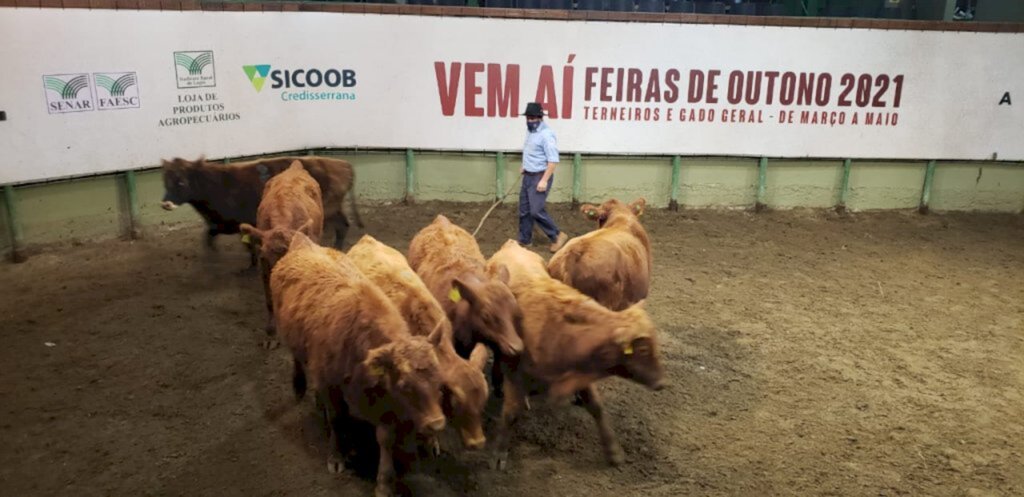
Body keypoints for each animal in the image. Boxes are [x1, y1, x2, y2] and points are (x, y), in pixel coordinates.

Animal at [272, 232, 444, 495]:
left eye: (439, 381)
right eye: (405, 385)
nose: (437, 424)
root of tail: (303, 243)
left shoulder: (382, 396)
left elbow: (385, 437)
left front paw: (384, 482)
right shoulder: (329, 385)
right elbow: (336, 419)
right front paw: (336, 456)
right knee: (298, 361)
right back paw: (299, 387)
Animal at [485, 238, 663, 469]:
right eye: (641, 348)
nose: (662, 382)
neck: (562, 330)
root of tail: (511, 245)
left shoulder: (582, 370)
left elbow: (596, 407)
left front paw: (613, 451)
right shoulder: (515, 372)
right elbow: (511, 413)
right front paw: (499, 453)